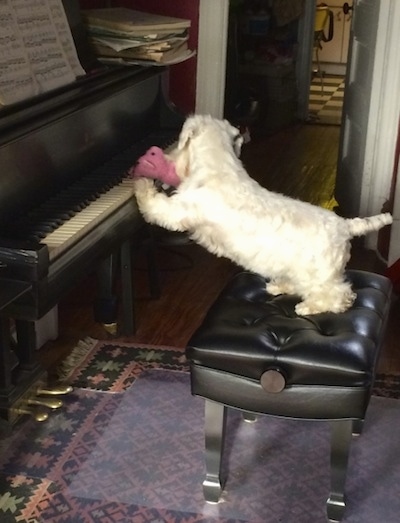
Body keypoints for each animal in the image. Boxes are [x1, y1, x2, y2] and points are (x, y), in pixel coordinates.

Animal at [133, 114, 392, 316]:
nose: (162, 157)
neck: (219, 165)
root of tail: (345, 226)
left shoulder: (178, 211)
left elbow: (154, 205)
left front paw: (141, 182)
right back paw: (279, 287)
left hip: (321, 276)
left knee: (340, 296)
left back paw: (308, 307)